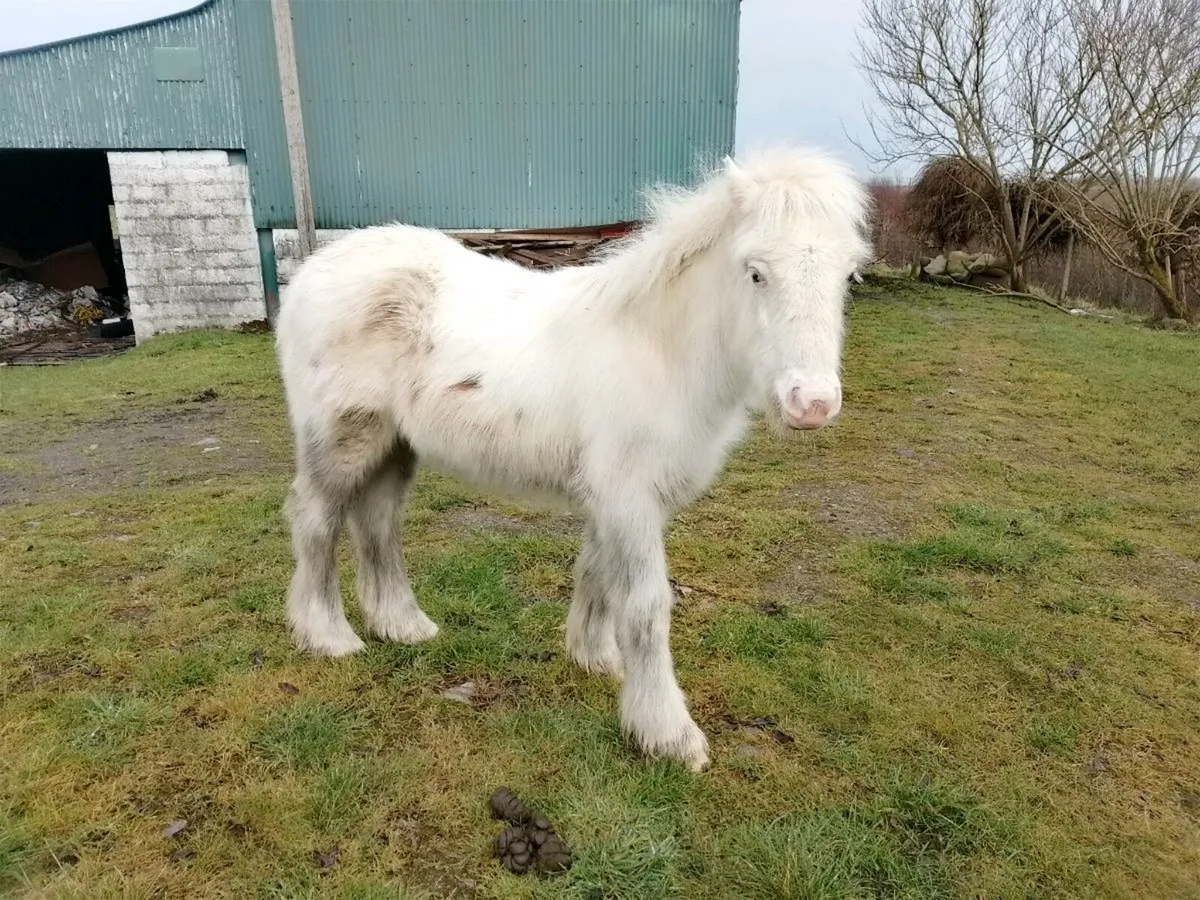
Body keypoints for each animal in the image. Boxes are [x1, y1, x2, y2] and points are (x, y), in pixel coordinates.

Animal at [274, 148, 871, 771]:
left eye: (849, 276)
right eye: (756, 272)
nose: (813, 404)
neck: (661, 350)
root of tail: (311, 272)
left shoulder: (612, 495)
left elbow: (597, 571)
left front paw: (593, 657)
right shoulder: (629, 494)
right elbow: (646, 605)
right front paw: (666, 733)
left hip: (395, 443)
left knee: (377, 520)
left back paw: (403, 625)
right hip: (343, 436)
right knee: (315, 518)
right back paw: (328, 636)